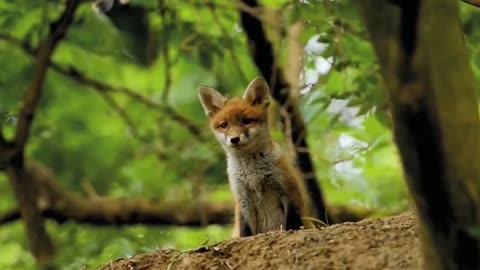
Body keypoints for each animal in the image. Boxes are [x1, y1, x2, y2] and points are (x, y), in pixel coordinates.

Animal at [197, 76, 314, 236]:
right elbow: (244, 232)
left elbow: (293, 224)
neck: (253, 175)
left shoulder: (289, 192)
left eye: (246, 121)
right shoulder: (243, 200)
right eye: (224, 125)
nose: (234, 139)